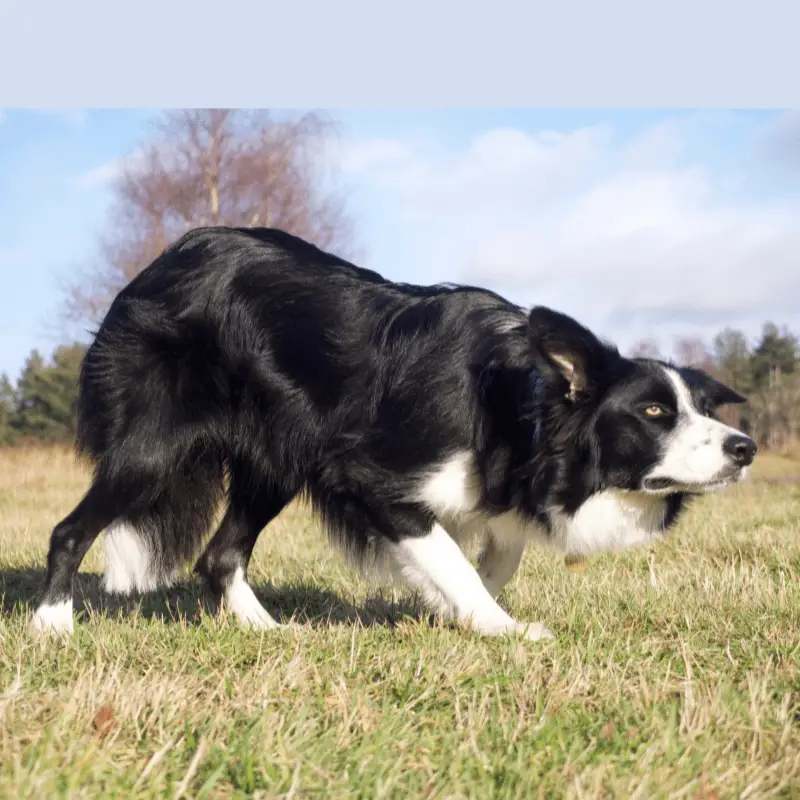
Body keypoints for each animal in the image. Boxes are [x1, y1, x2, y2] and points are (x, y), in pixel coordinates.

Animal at [31, 228, 756, 640]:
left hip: (278, 460)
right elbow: (454, 559)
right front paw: (503, 628)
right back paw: (52, 624)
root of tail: (159, 264)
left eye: (701, 406)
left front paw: (457, 615)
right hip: (153, 450)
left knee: (220, 556)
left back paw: (268, 632)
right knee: (70, 528)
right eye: (654, 413)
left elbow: (495, 556)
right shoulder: (371, 477)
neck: (521, 404)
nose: (744, 448)